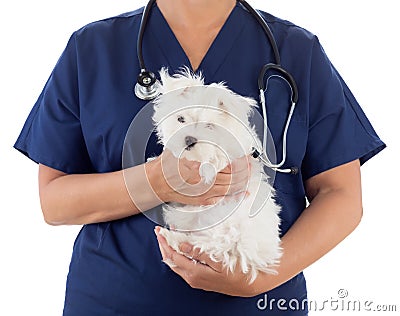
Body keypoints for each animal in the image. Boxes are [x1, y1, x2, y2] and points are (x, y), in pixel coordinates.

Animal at [153, 68, 282, 282]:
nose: (189, 140)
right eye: (181, 119)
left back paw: (171, 238)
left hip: (226, 231)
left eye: (209, 126)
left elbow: (214, 161)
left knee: (203, 247)